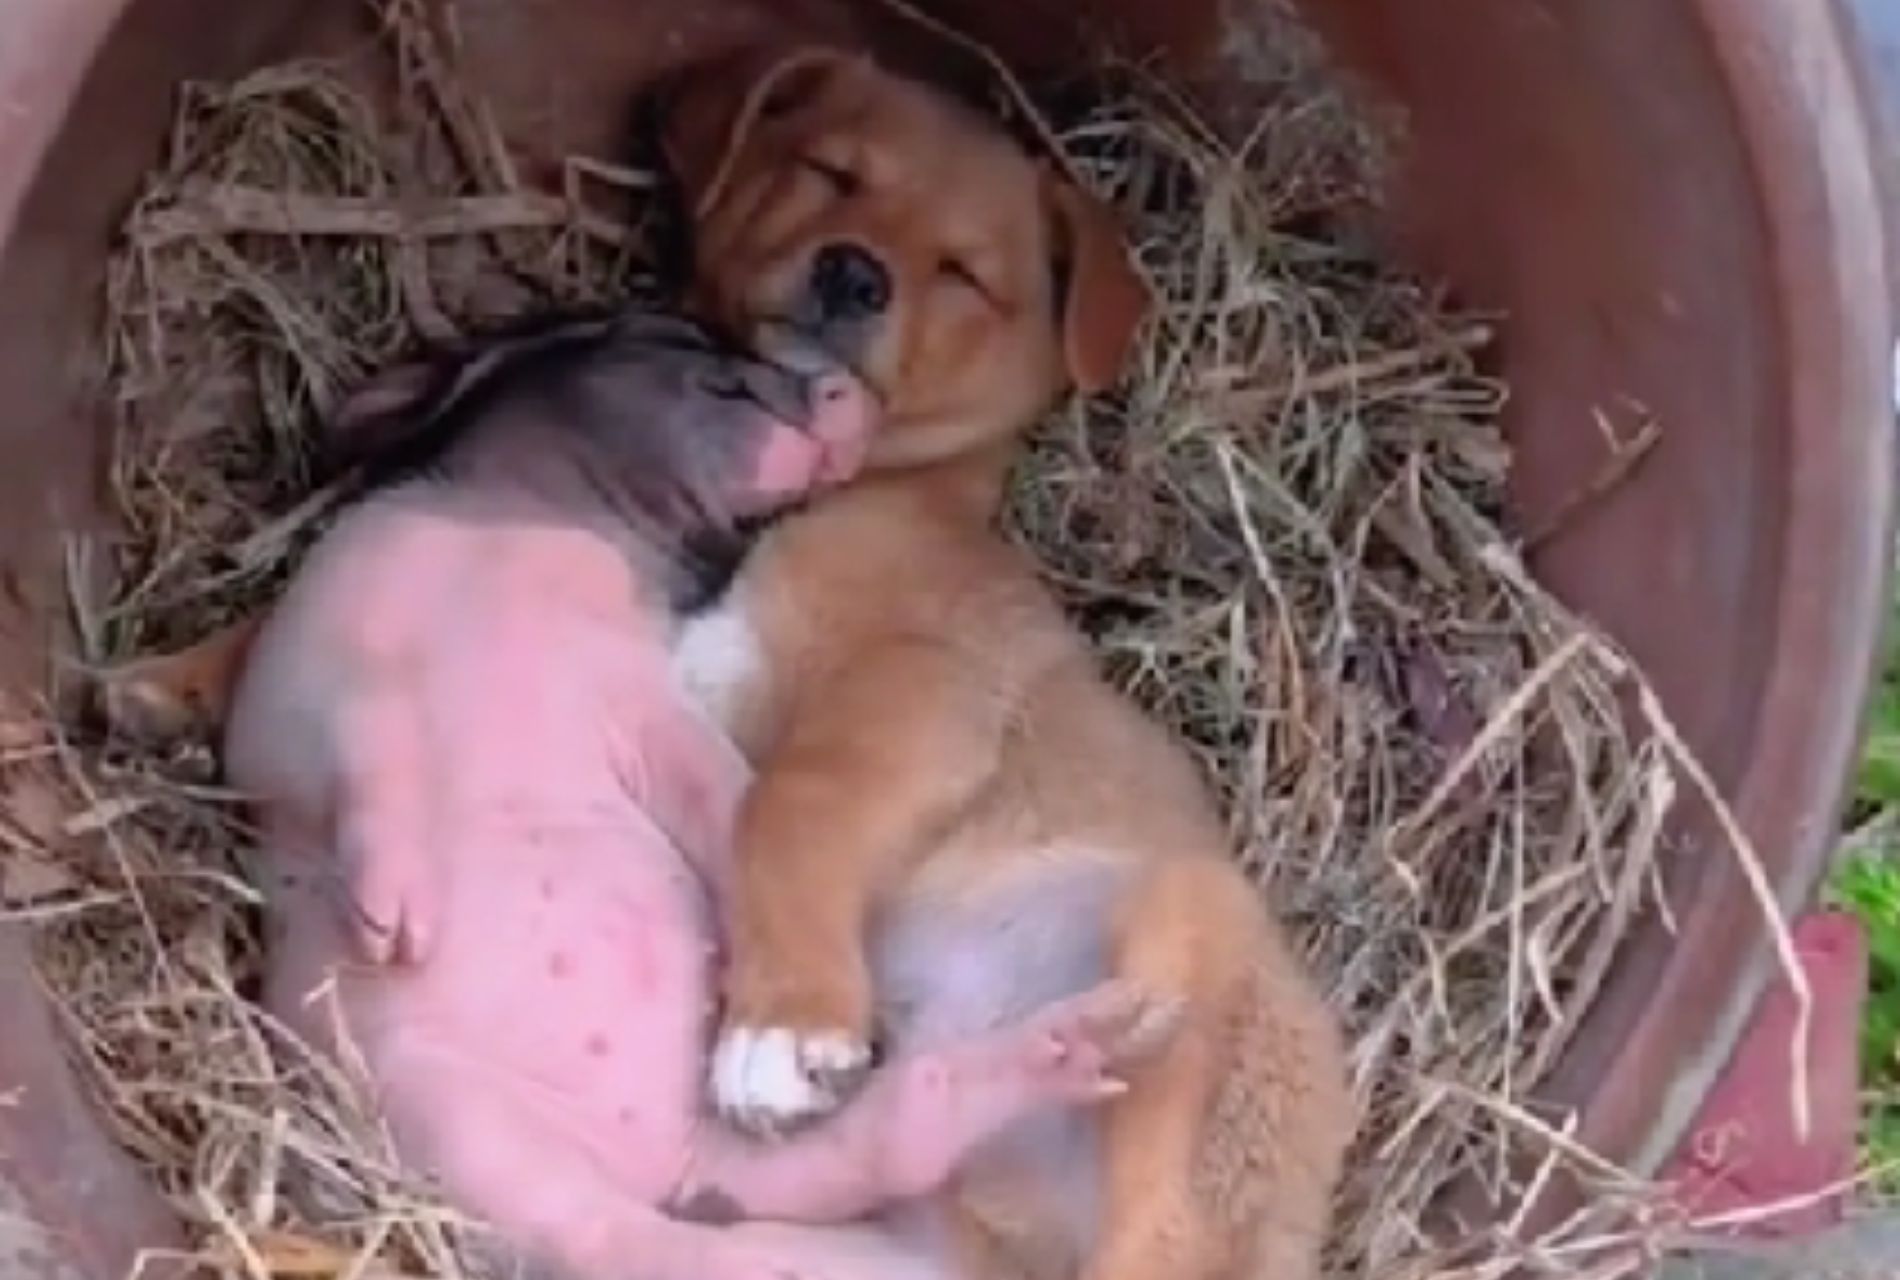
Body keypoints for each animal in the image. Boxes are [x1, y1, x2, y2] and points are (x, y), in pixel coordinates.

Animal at [226, 309, 1170, 1276]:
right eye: (674, 343)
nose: (845, 388)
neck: (521, 527)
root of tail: (656, 1162)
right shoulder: (298, 703)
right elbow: (368, 764)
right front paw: (396, 932)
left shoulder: (642, 696)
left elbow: (733, 797)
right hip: (469, 1131)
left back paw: (1083, 1045)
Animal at [661, 39, 1360, 1276]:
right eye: (830, 172)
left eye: (961, 273)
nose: (852, 276)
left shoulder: (928, 693)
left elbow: (787, 801)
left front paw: (785, 1020)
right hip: (921, 1215)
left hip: (1194, 943)